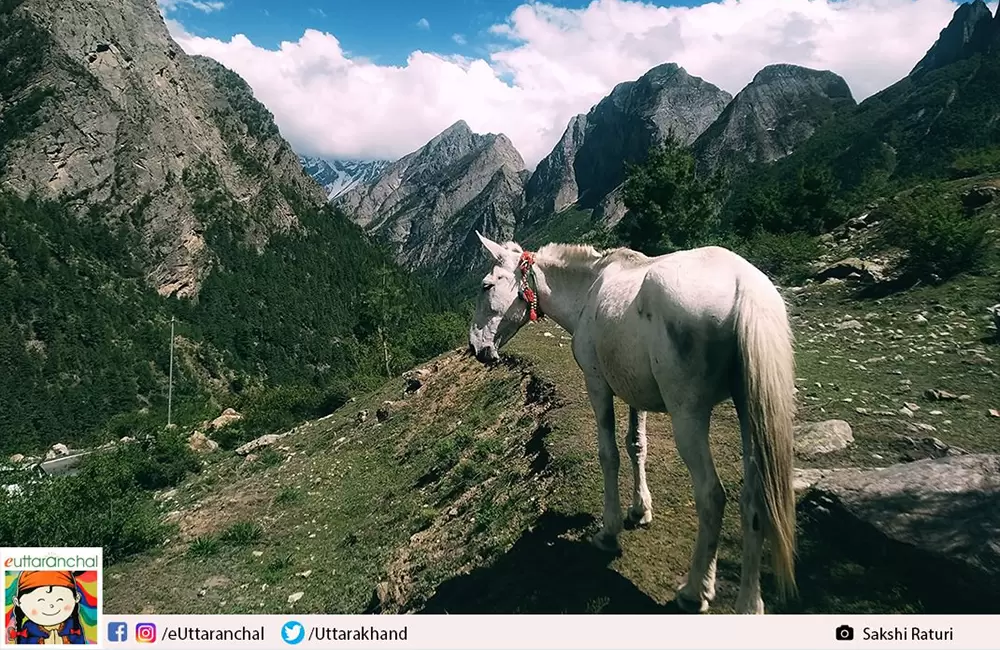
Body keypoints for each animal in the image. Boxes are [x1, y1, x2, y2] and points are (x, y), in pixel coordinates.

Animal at [466, 233, 796, 612]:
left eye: (486, 285)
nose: (475, 348)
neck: (588, 289)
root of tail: (746, 287)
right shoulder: (634, 392)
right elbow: (637, 445)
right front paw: (640, 511)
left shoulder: (597, 384)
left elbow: (609, 454)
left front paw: (609, 531)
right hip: (750, 414)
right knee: (755, 500)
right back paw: (749, 604)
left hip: (689, 415)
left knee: (712, 495)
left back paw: (695, 590)